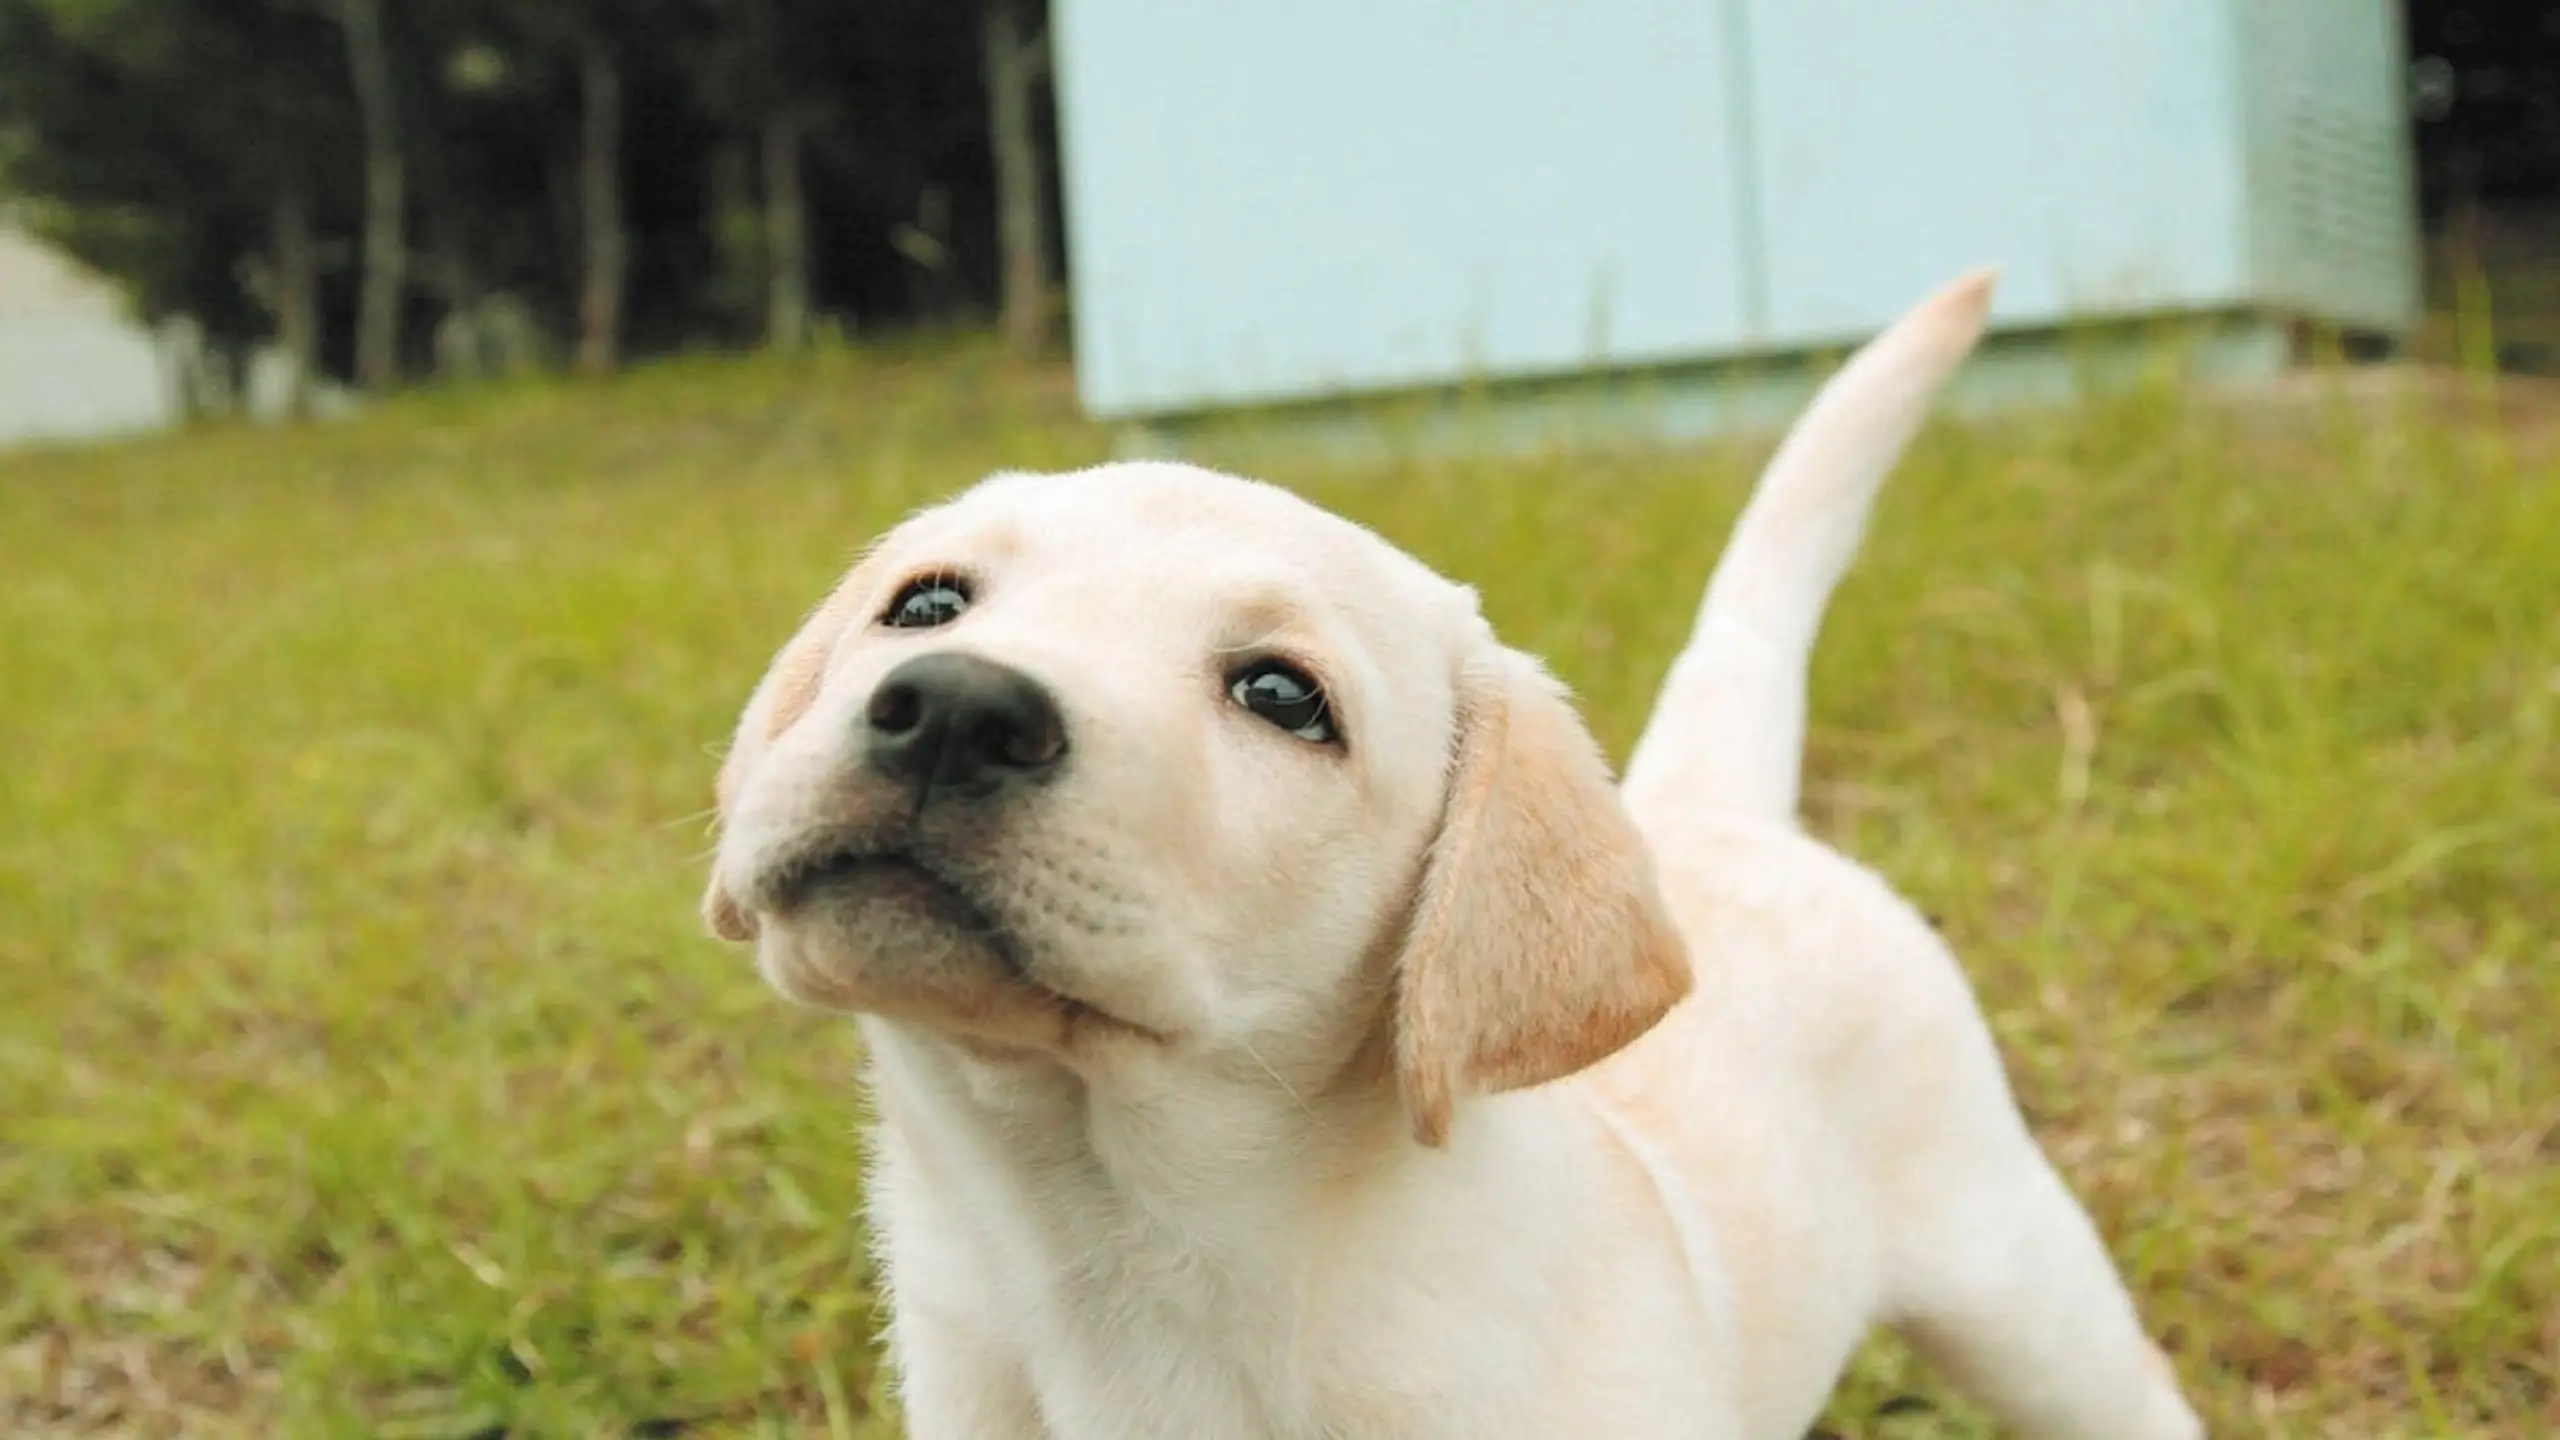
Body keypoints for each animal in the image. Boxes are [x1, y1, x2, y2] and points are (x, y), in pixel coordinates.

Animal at [711, 271, 2211, 1434]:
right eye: (926, 605)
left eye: (1282, 697)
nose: (953, 707)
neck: (1116, 1236)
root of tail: (1711, 813)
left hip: (2014, 1280)